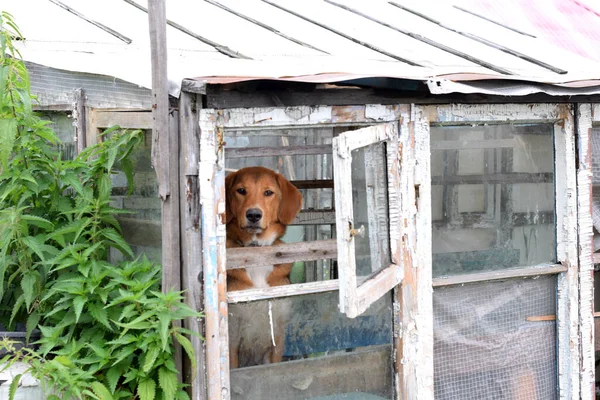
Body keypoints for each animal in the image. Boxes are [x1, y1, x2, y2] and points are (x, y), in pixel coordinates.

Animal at [224, 166, 302, 368]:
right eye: (241, 190)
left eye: (268, 193)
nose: (253, 214)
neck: (256, 252)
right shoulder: (232, 338)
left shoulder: (277, 337)